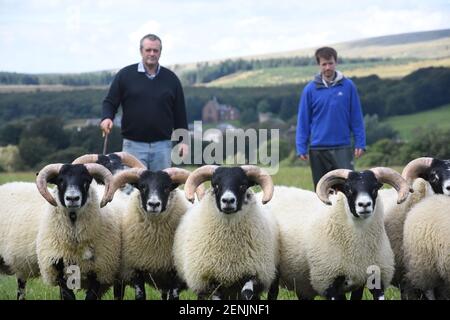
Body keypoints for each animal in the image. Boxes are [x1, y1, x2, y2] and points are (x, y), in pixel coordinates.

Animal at [35, 162, 120, 300]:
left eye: (86, 181)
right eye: (60, 181)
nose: (72, 198)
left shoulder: (100, 269)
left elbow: (91, 296)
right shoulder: (57, 269)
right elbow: (67, 295)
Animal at [106, 168, 200, 300]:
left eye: (167, 187)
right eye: (142, 187)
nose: (154, 204)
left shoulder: (176, 274)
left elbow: (173, 296)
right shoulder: (136, 269)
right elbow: (140, 295)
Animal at [174, 165, 280, 300]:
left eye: (243, 185)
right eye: (215, 185)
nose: (228, 200)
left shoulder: (254, 273)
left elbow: (247, 293)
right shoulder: (209, 280)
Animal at [270, 168, 412, 300]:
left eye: (375, 188)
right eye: (348, 189)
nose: (364, 204)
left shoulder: (374, 278)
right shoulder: (329, 280)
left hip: (302, 282)